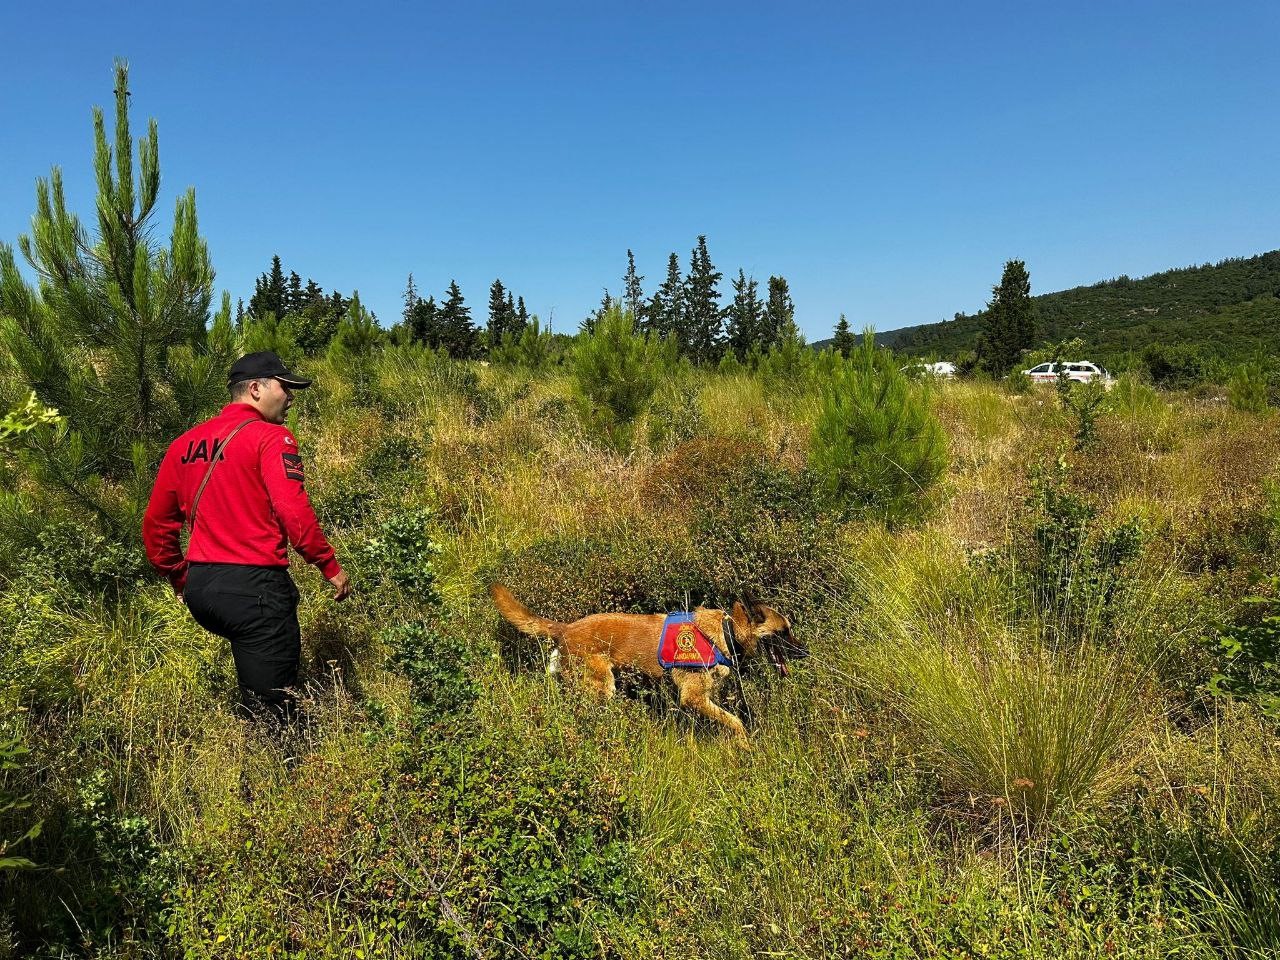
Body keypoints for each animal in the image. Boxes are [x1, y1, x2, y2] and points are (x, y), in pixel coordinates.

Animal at [488, 583, 798, 747]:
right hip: (602, 689)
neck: (727, 631)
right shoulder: (693, 698)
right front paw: (745, 744)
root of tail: (566, 629)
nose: (804, 652)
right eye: (783, 632)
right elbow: (735, 721)